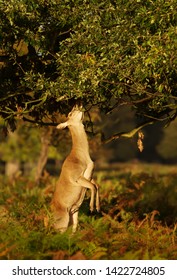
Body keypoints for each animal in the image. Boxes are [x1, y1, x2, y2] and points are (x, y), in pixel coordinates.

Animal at [50, 104, 99, 232]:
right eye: (70, 113)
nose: (78, 104)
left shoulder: (89, 175)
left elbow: (97, 185)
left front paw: (97, 207)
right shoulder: (77, 177)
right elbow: (93, 187)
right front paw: (91, 208)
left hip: (73, 215)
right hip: (62, 222)